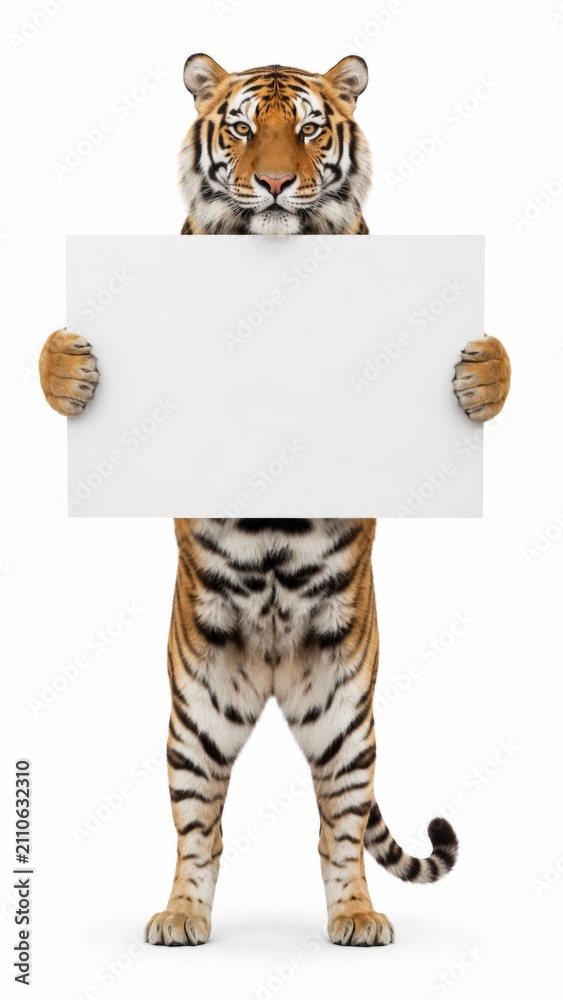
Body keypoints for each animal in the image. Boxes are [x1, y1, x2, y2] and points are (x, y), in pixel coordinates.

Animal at [38, 54, 511, 947]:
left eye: (310, 129)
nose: (274, 184)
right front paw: (73, 366)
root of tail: (269, 673)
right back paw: (181, 916)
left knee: (338, 829)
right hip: (196, 717)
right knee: (200, 829)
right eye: (242, 127)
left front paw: (478, 372)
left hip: (344, 718)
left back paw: (357, 918)